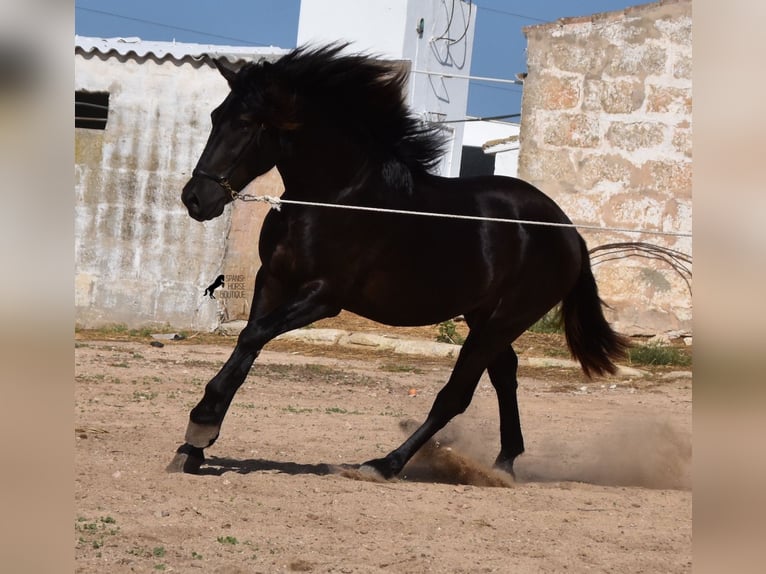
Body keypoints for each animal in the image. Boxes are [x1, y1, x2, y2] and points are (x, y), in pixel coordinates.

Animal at [170, 45, 632, 480]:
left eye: (247, 123)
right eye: (216, 116)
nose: (195, 199)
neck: (334, 199)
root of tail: (569, 230)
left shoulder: (323, 297)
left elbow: (253, 337)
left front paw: (200, 426)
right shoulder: (273, 280)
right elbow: (247, 344)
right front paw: (193, 447)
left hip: (506, 318)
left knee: (455, 395)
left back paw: (386, 463)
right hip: (484, 316)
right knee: (505, 374)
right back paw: (503, 464)